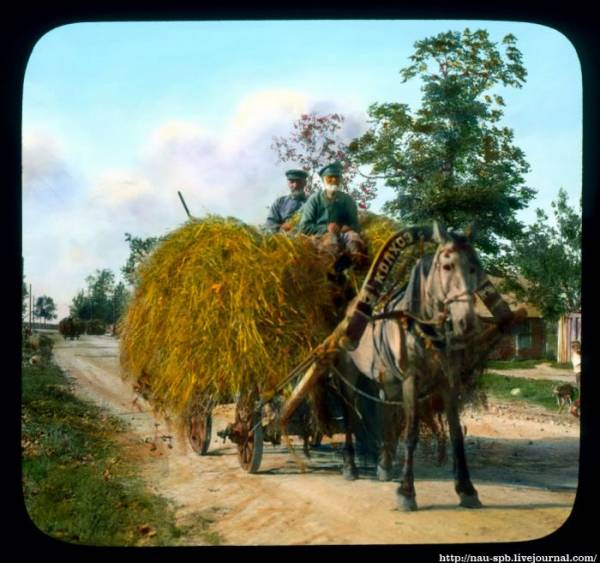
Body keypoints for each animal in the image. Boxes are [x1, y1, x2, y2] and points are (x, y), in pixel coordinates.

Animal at [330, 223, 512, 512]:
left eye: (475, 267)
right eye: (447, 266)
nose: (468, 323)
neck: (424, 326)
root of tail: (350, 308)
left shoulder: (449, 382)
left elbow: (456, 434)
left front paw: (466, 489)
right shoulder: (411, 380)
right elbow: (412, 432)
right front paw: (407, 492)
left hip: (386, 378)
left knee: (385, 412)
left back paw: (384, 464)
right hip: (349, 372)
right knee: (349, 412)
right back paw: (350, 465)